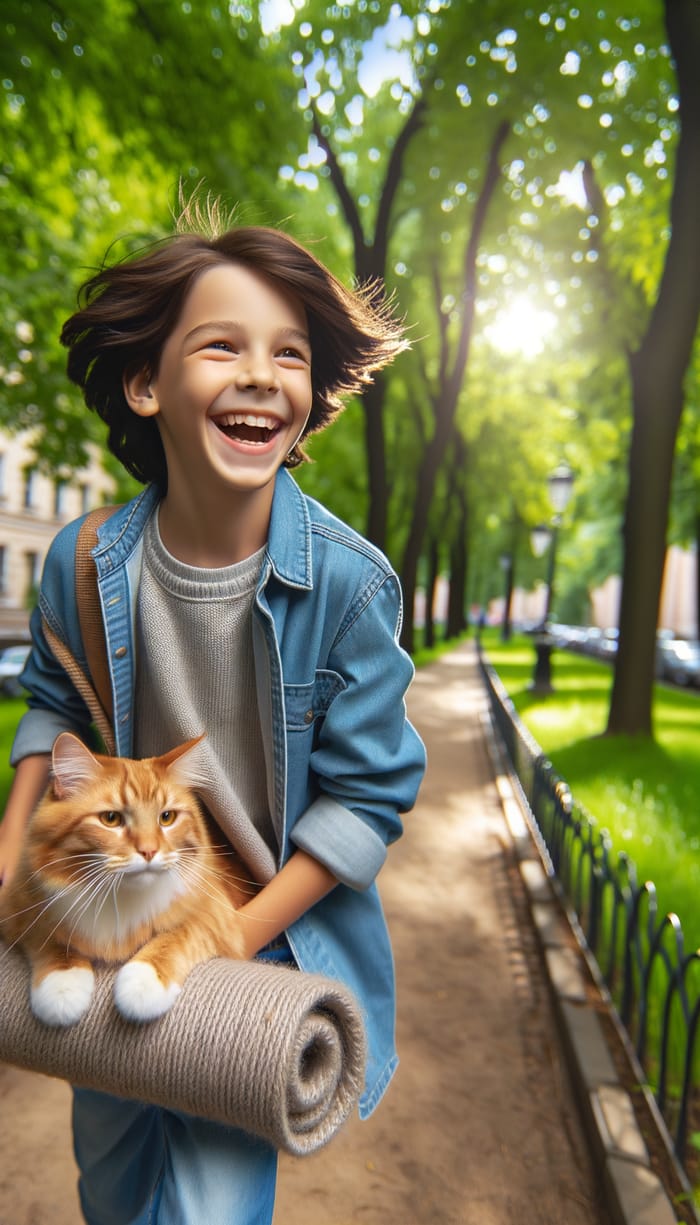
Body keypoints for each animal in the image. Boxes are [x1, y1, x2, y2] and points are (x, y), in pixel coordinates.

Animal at [0, 730, 256, 1029]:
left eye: (166, 817)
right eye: (111, 818)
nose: (149, 851)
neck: (117, 895)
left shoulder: (215, 914)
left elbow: (175, 936)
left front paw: (143, 985)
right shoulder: (18, 905)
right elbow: (51, 940)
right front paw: (62, 987)